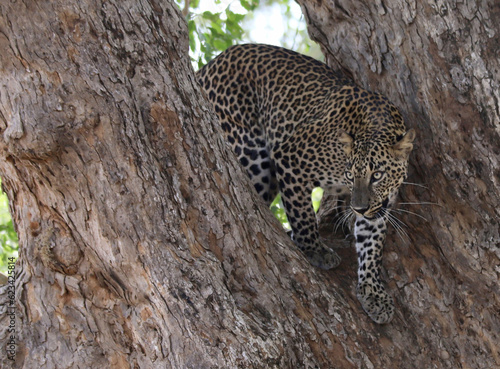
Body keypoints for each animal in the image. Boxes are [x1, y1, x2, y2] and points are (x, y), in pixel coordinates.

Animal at [197, 44, 416, 324]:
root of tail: (210, 64)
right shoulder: (290, 157)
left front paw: (373, 293)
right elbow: (302, 214)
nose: (358, 209)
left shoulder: (378, 206)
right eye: (350, 174)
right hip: (253, 156)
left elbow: (372, 247)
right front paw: (315, 250)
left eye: (377, 175)